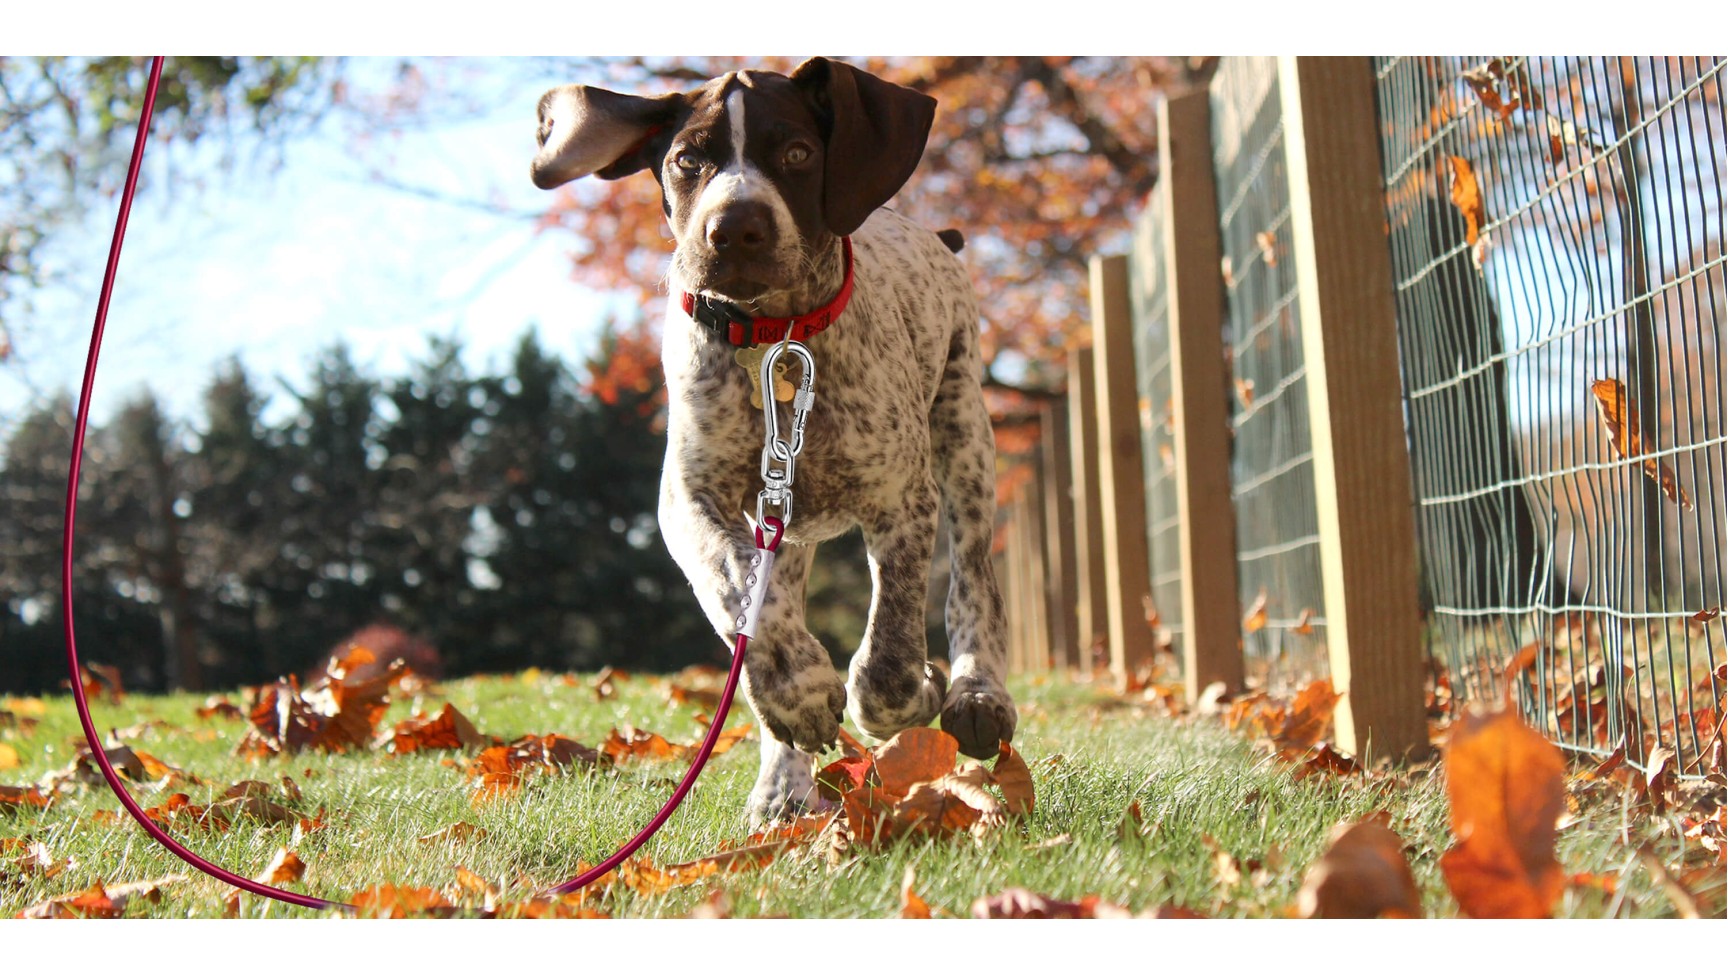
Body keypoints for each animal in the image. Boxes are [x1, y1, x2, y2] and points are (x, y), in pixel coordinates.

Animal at [525, 59, 1009, 822]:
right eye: (687, 160)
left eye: (798, 153)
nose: (735, 227)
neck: (774, 340)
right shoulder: (692, 500)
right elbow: (736, 594)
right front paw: (797, 696)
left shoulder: (901, 498)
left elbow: (889, 654)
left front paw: (917, 690)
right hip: (787, 520)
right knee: (770, 599)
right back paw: (783, 784)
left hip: (963, 435)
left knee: (973, 580)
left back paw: (978, 694)